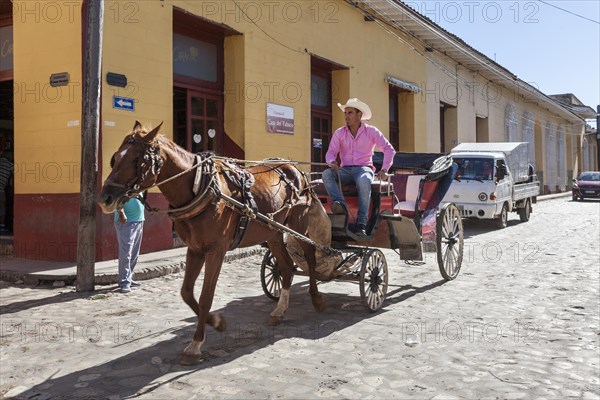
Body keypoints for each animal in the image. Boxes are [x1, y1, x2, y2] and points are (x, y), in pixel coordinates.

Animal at [99, 122, 330, 366]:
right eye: (115, 158)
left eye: (137, 160)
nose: (105, 199)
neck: (199, 187)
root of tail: (296, 169)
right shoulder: (194, 249)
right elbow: (186, 293)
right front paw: (216, 322)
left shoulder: (216, 251)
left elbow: (204, 297)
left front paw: (196, 344)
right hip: (273, 232)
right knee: (285, 267)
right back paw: (279, 310)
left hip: (299, 225)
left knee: (310, 255)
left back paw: (316, 299)